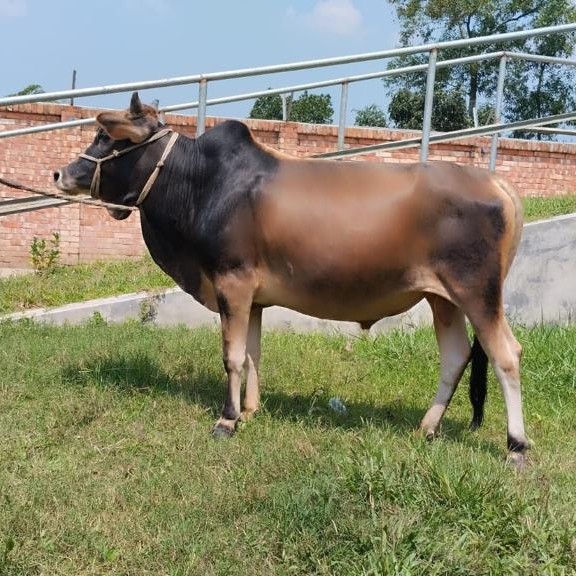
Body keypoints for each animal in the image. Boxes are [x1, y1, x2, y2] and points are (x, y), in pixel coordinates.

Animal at [55, 92, 532, 466]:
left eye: (107, 138)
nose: (59, 173)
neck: (202, 184)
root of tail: (497, 183)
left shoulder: (232, 281)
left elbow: (232, 356)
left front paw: (227, 420)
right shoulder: (254, 297)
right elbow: (252, 354)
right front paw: (250, 411)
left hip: (477, 292)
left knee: (506, 353)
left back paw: (516, 446)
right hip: (443, 298)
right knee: (455, 356)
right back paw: (426, 428)